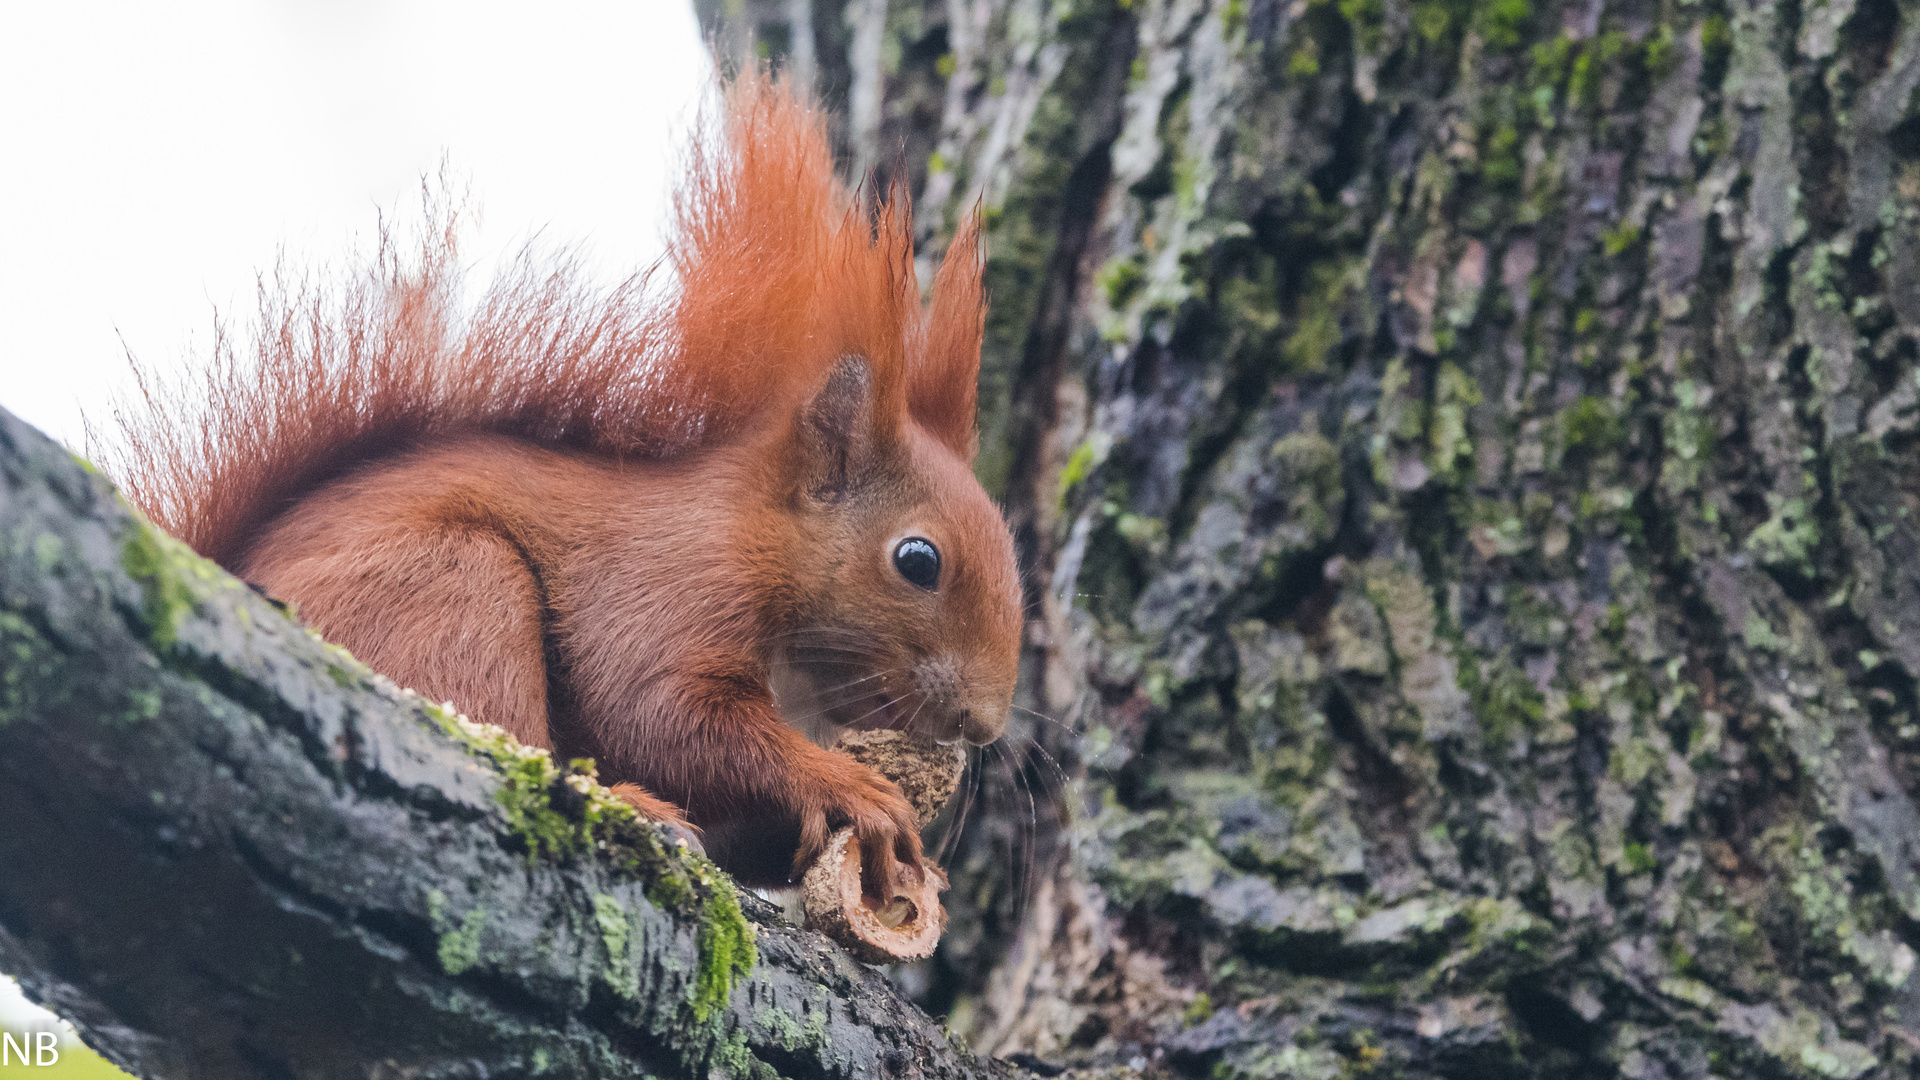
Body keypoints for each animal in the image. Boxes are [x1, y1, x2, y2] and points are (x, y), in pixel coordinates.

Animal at [112, 77, 1029, 899]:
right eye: (917, 560)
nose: (983, 725)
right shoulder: (671, 582)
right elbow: (660, 711)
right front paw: (852, 788)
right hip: (450, 589)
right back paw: (625, 802)